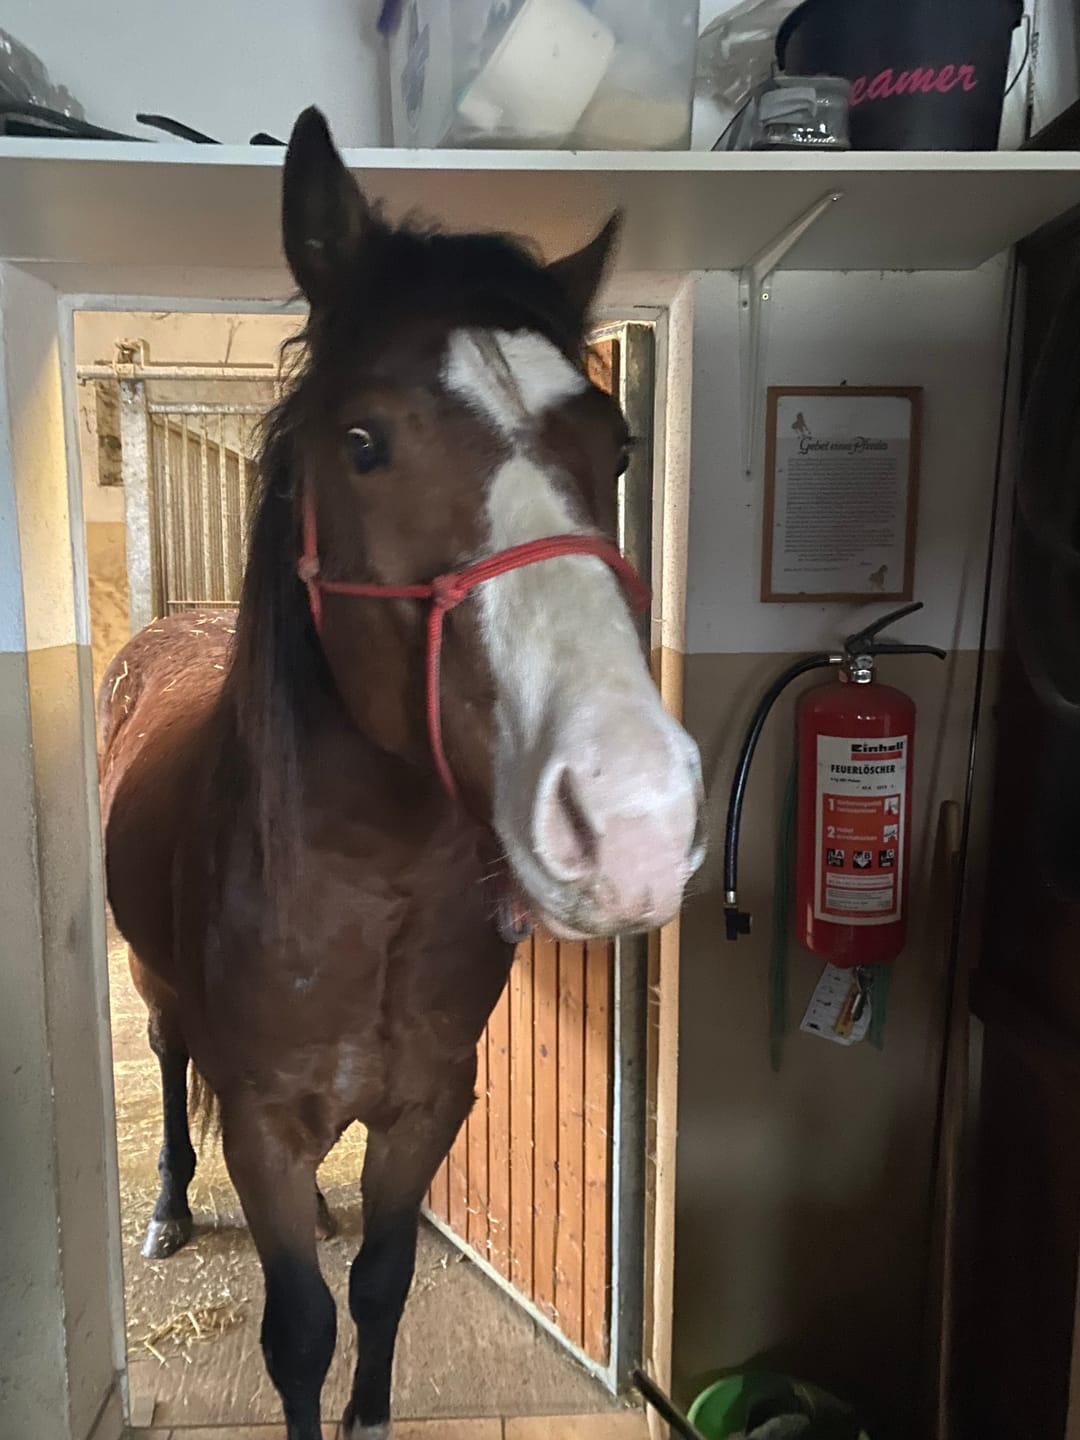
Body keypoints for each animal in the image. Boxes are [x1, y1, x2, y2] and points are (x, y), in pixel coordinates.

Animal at [98, 106, 705, 1440]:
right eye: (365, 442)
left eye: (620, 444)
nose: (632, 817)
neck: (365, 887)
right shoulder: (265, 1126)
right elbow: (300, 1332)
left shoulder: (428, 1105)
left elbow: (378, 1290)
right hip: (155, 987)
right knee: (167, 1060)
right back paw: (164, 1206)